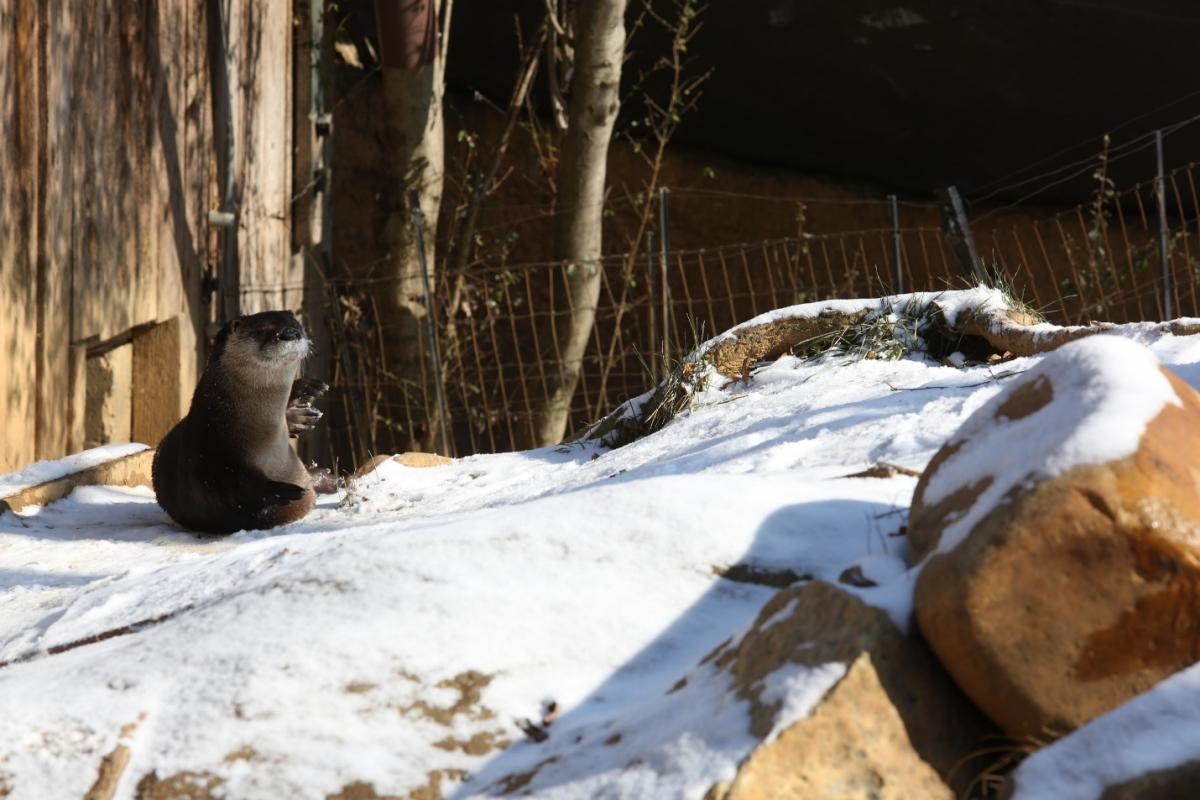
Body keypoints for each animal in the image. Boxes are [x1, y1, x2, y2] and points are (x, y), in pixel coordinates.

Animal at [156, 309, 333, 534]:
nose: (291, 333)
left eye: (298, 325)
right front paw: (279, 490)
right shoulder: (207, 455)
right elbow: (231, 489)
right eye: (261, 330)